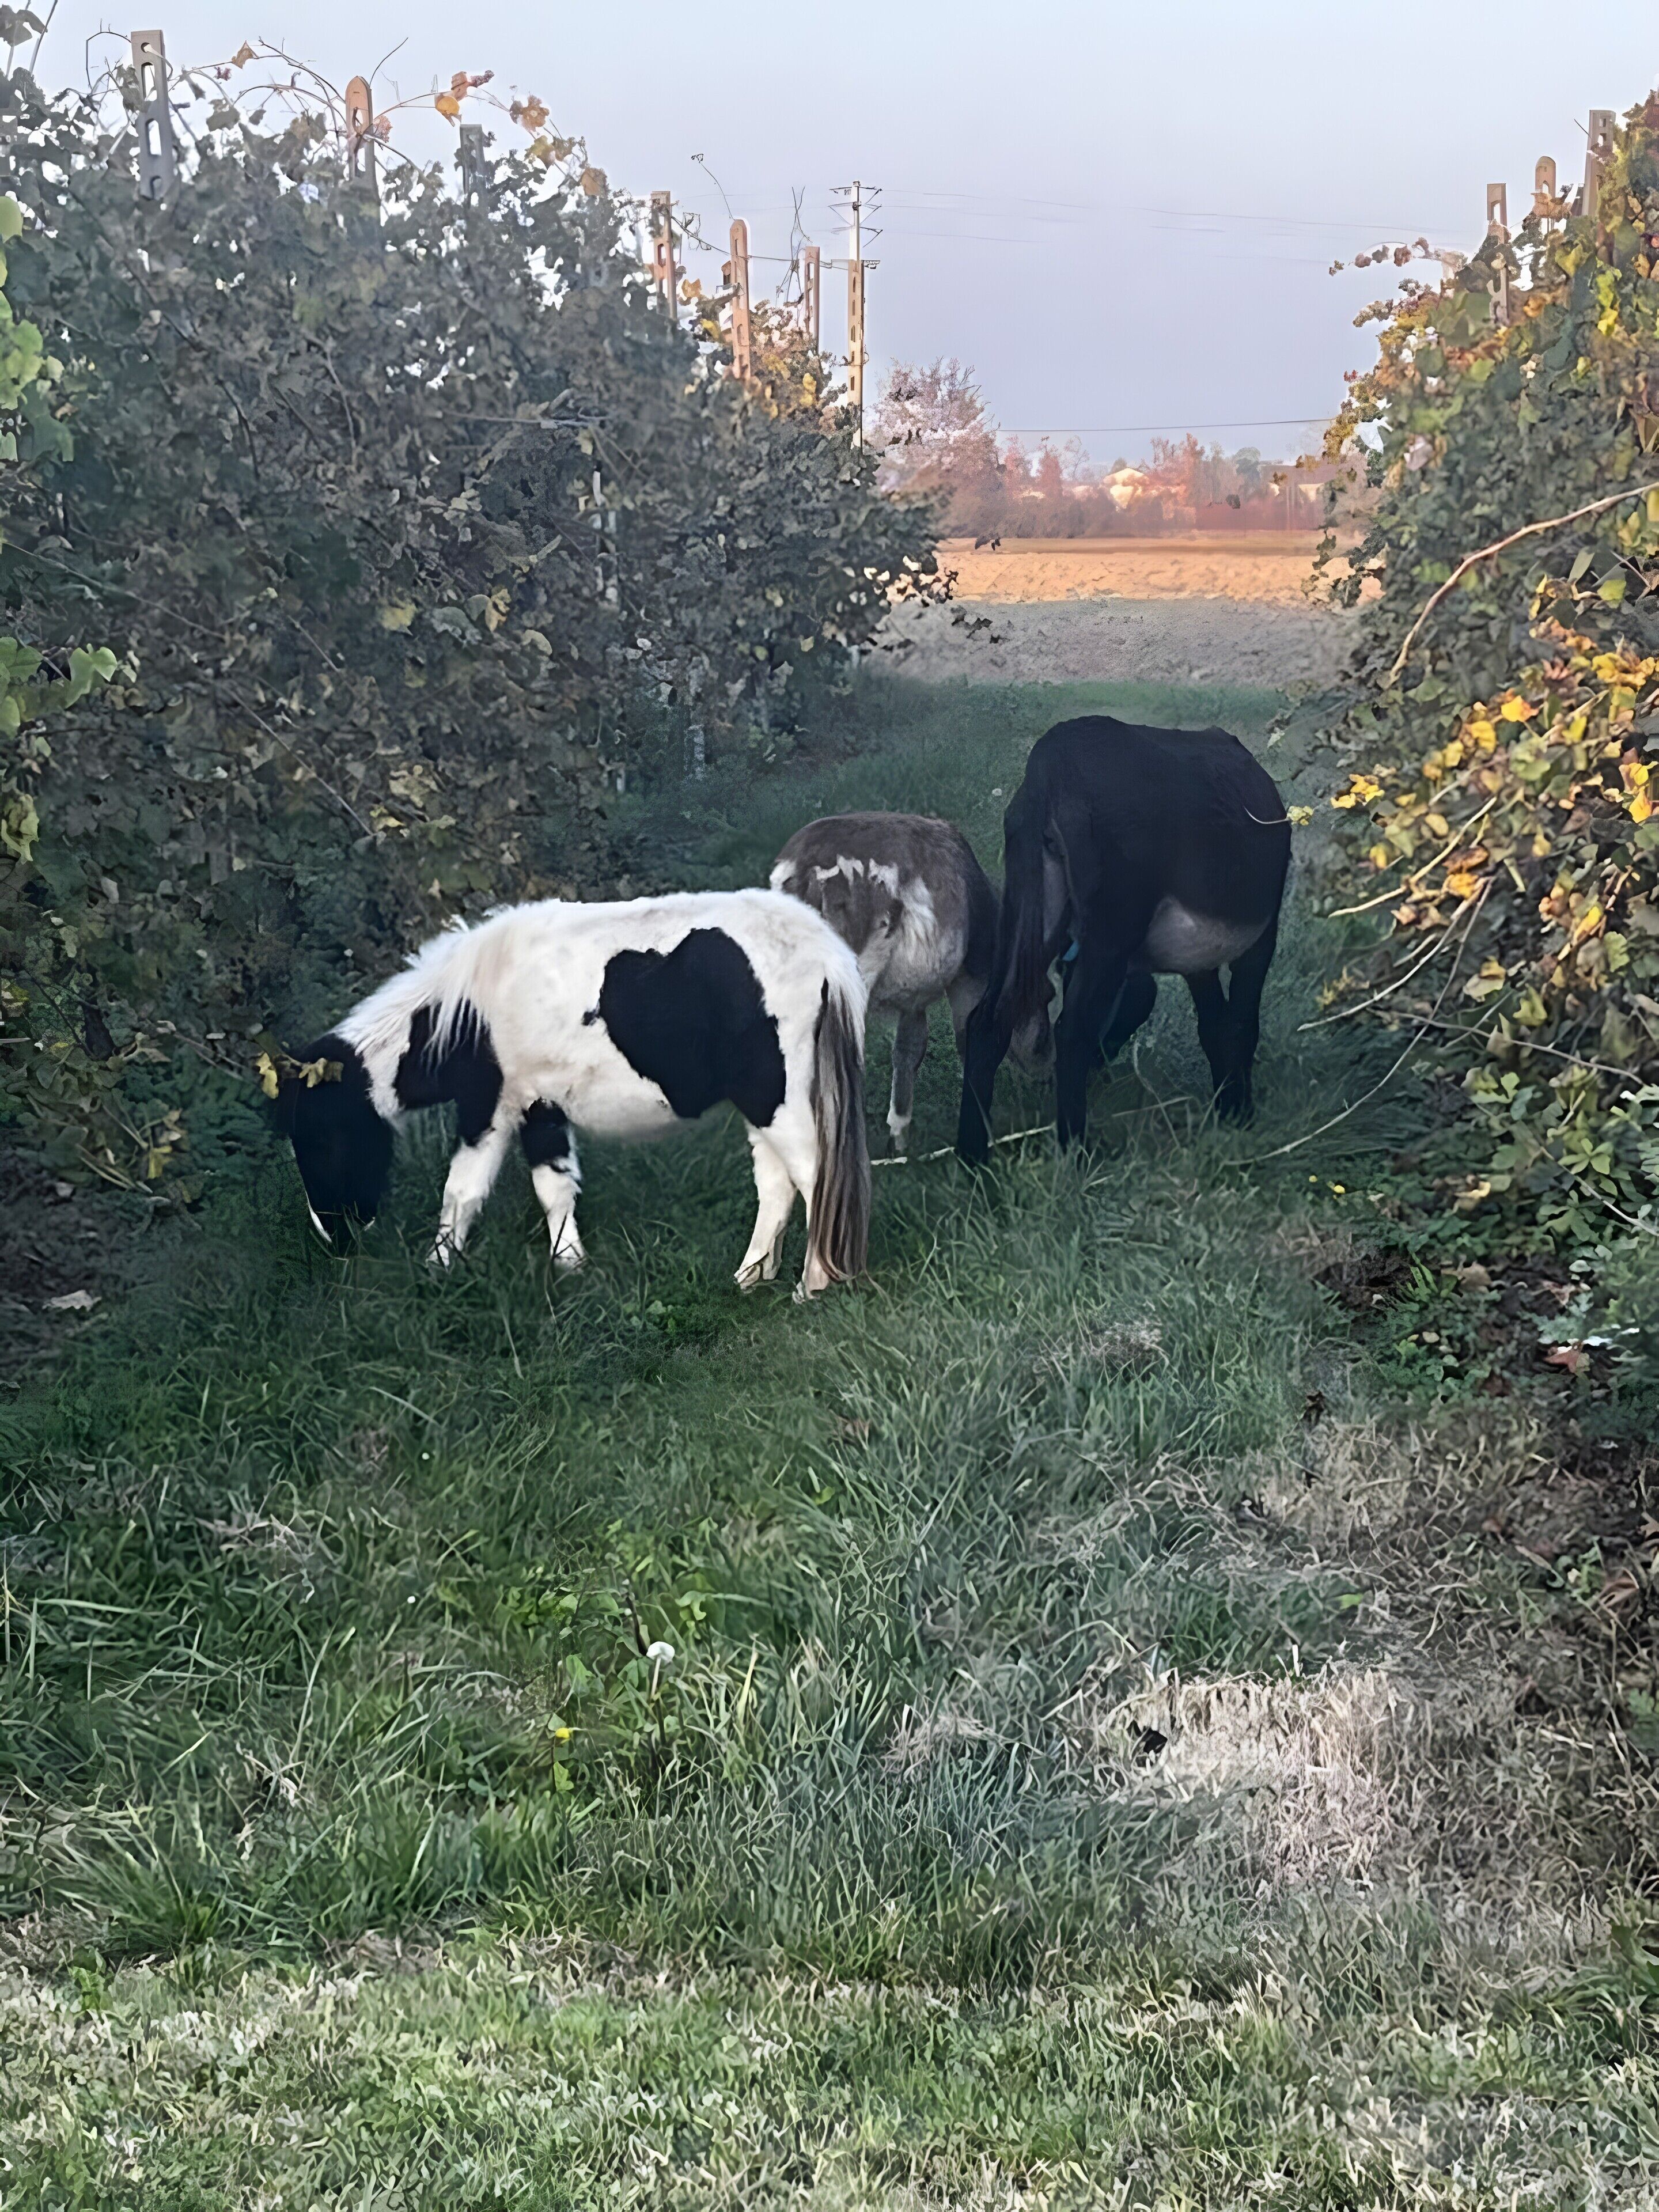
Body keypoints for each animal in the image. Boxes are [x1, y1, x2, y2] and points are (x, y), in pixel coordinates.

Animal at [956, 716, 1291, 1163]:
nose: (1102, 1069)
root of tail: (1050, 762)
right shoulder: (1259, 943)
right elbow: (1240, 1024)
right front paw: (1240, 1115)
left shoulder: (1198, 961)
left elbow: (1213, 1026)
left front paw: (1228, 1107)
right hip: (1112, 928)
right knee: (1073, 1032)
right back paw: (1075, 1152)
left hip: (1031, 903)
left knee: (988, 1022)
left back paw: (973, 1160)